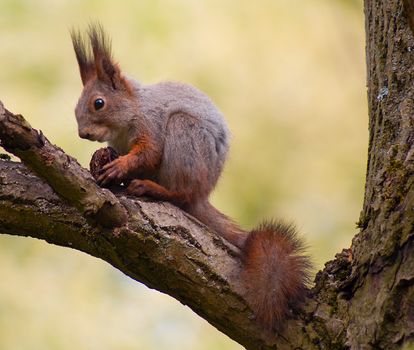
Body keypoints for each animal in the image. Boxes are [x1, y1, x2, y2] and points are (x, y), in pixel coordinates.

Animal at [70, 24, 310, 330]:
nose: (83, 134)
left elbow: (148, 154)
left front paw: (119, 167)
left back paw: (152, 188)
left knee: (180, 195)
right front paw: (106, 159)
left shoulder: (152, 125)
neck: (130, 115)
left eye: (98, 103)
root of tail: (202, 193)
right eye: (76, 107)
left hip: (184, 135)